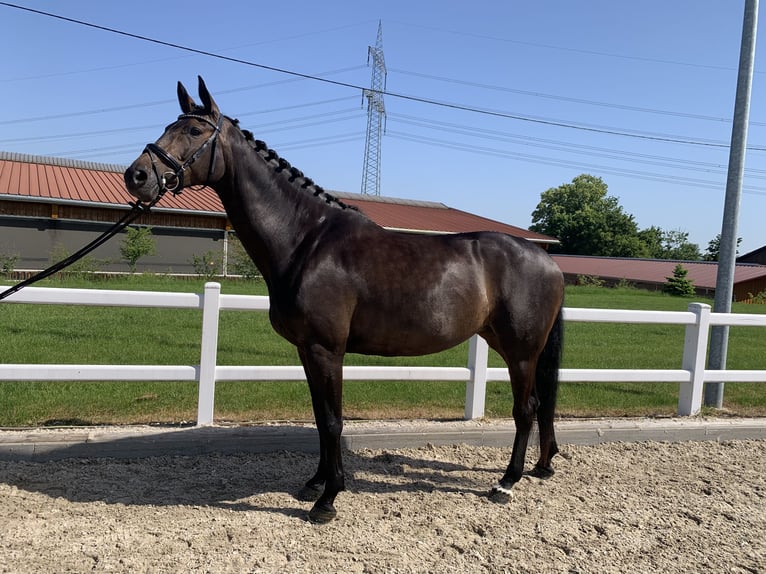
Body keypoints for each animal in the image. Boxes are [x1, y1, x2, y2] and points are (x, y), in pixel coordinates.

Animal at [125, 77, 565, 524]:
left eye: (195, 131)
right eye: (170, 125)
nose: (137, 175)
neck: (306, 239)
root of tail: (546, 259)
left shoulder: (327, 349)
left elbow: (334, 421)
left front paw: (328, 499)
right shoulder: (306, 350)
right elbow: (321, 419)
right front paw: (315, 483)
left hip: (521, 351)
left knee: (527, 408)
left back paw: (506, 483)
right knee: (537, 405)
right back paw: (539, 466)